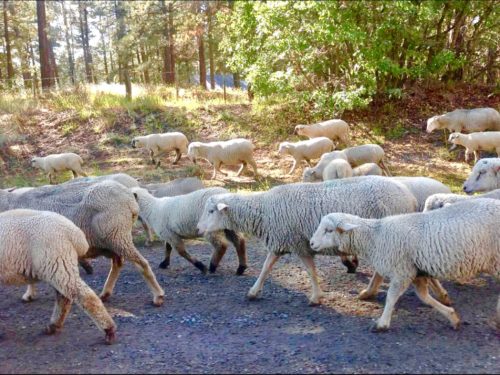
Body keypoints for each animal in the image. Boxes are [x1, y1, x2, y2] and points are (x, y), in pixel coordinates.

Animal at [0, 181, 166, 306]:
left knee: (141, 263)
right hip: (110, 240)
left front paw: (28, 294)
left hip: (117, 236)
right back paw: (105, 293)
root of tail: (129, 196)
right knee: (118, 263)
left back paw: (158, 296)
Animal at [0, 210, 116, 346]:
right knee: (64, 297)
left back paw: (109, 330)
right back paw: (53, 325)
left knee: (84, 296)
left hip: (56, 261)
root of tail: (74, 233)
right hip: (57, 265)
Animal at [195, 178, 418, 306]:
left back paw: (369, 292)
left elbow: (310, 271)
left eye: (211, 211)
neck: (264, 210)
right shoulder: (280, 240)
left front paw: (315, 298)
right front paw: (253, 292)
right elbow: (266, 268)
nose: (197, 229)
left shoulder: (298, 243)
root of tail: (410, 196)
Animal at [308, 200, 500, 332]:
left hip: (496, 259)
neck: (375, 237)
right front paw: (452, 316)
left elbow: (391, 297)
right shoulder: (415, 272)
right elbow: (425, 297)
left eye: (329, 230)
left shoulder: (401, 272)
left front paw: (382, 323)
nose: (311, 243)